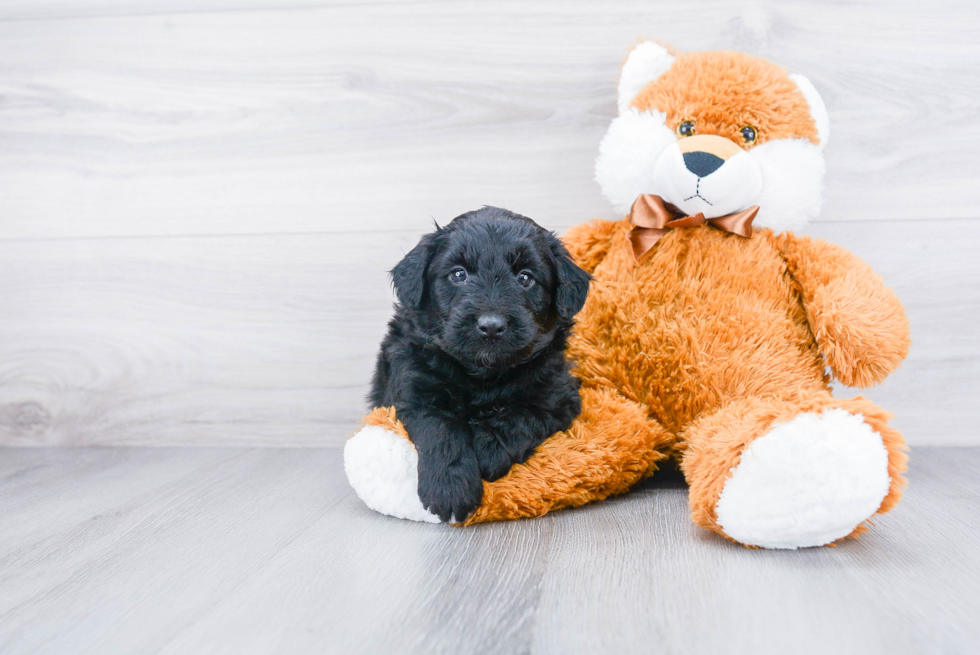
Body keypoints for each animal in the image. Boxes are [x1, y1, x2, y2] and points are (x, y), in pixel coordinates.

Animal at [370, 208, 588, 524]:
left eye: (525, 278)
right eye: (458, 274)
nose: (491, 326)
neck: (482, 374)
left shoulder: (558, 395)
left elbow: (521, 417)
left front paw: (486, 451)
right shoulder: (415, 388)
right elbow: (442, 429)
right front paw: (449, 488)